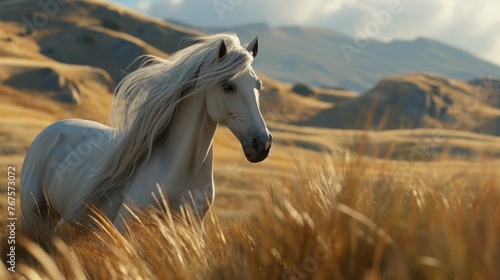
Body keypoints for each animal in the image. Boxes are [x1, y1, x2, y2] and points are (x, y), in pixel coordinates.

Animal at [19, 32, 272, 238]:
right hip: (34, 217)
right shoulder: (125, 227)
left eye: (258, 86)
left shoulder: (193, 228)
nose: (262, 144)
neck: (178, 172)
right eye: (228, 86)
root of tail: (51, 130)